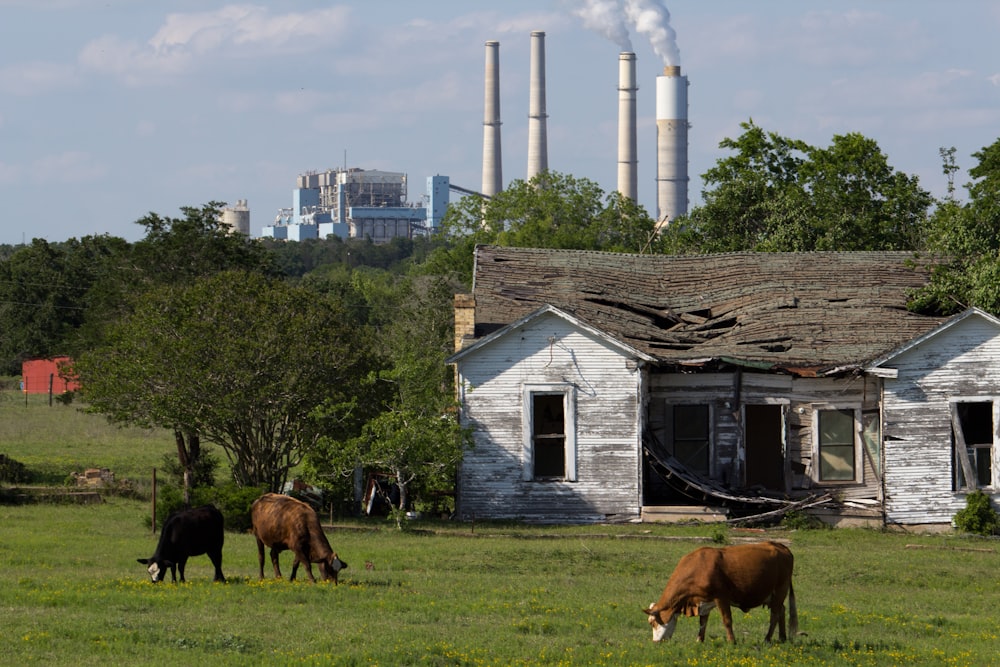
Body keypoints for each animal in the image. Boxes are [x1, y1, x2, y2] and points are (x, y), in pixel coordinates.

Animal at [644, 540, 800, 644]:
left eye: (653, 623)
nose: (655, 643)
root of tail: (780, 546)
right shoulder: (703, 601)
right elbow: (703, 622)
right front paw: (699, 640)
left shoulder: (722, 597)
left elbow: (727, 620)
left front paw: (732, 642)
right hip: (772, 595)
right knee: (781, 610)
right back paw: (782, 637)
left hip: (780, 589)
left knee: (774, 615)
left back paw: (767, 639)